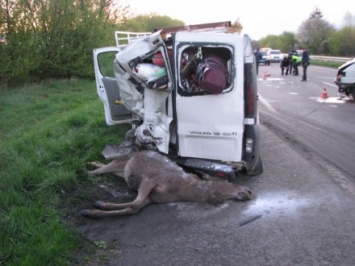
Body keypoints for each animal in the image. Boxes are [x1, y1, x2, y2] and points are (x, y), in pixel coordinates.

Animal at [80, 151, 253, 217]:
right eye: (225, 181)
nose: (249, 190)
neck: (184, 192)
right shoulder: (151, 180)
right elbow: (134, 205)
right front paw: (94, 207)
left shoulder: (152, 199)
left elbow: (133, 208)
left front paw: (93, 210)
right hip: (123, 162)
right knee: (101, 170)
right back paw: (86, 170)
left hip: (122, 171)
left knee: (107, 167)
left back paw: (93, 162)